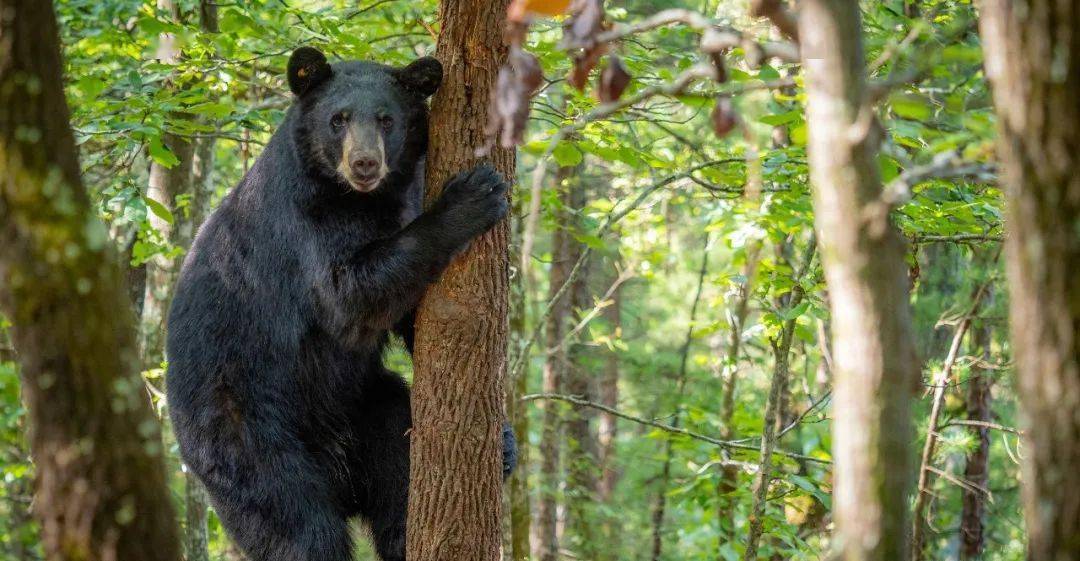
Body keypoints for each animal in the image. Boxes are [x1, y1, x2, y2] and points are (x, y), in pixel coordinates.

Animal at [164, 47, 514, 561]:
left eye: (387, 118)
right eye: (338, 119)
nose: (364, 164)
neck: (363, 199)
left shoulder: (407, 189)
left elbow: (410, 315)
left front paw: (505, 437)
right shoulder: (304, 223)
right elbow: (350, 295)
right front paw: (474, 194)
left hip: (371, 410)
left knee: (399, 490)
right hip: (244, 431)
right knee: (297, 528)